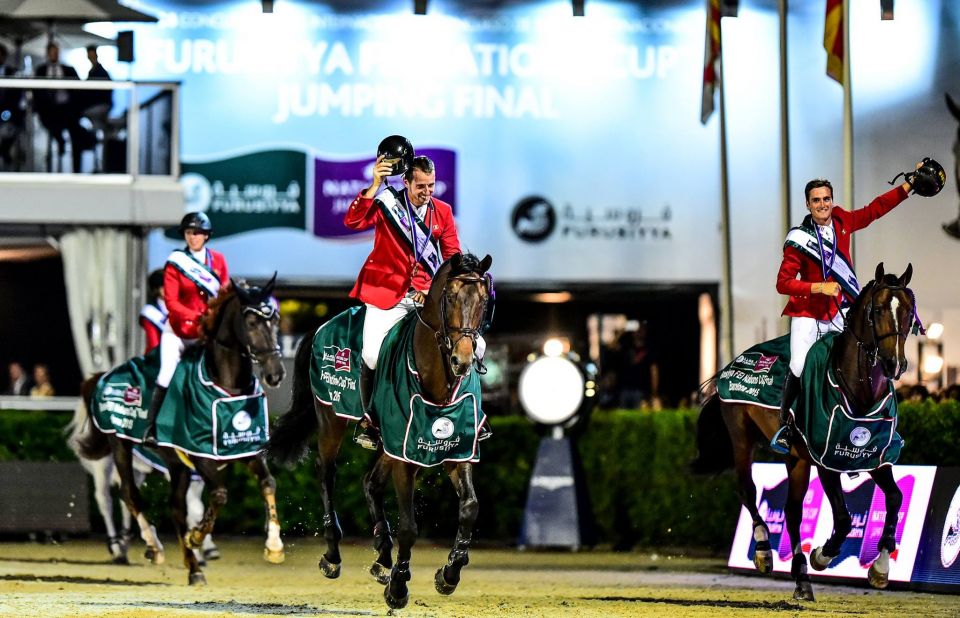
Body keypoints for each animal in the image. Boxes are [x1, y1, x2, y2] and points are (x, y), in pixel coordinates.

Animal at [79, 278, 284, 584]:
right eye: (250, 322)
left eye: (276, 320)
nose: (276, 373)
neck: (226, 387)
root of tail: (105, 375)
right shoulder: (200, 454)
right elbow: (219, 495)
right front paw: (197, 537)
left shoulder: (248, 448)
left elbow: (268, 483)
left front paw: (274, 546)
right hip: (120, 446)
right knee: (127, 494)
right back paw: (152, 546)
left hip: (176, 464)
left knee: (175, 508)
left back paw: (194, 569)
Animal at [268, 250, 496, 608]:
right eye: (449, 296)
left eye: (484, 300)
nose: (462, 361)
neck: (438, 380)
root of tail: (323, 325)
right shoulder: (405, 456)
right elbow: (409, 527)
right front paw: (399, 587)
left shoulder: (456, 449)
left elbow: (470, 507)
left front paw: (449, 573)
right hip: (331, 418)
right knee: (326, 472)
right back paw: (333, 555)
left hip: (386, 440)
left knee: (370, 482)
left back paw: (383, 558)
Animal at [692, 262, 920, 600]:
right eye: (877, 309)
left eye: (907, 311)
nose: (895, 364)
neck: (860, 391)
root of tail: (731, 364)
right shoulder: (826, 460)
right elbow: (843, 520)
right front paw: (822, 555)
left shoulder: (874, 456)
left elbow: (894, 498)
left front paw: (880, 569)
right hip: (742, 439)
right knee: (748, 490)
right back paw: (765, 552)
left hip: (796, 458)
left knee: (793, 512)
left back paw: (801, 579)